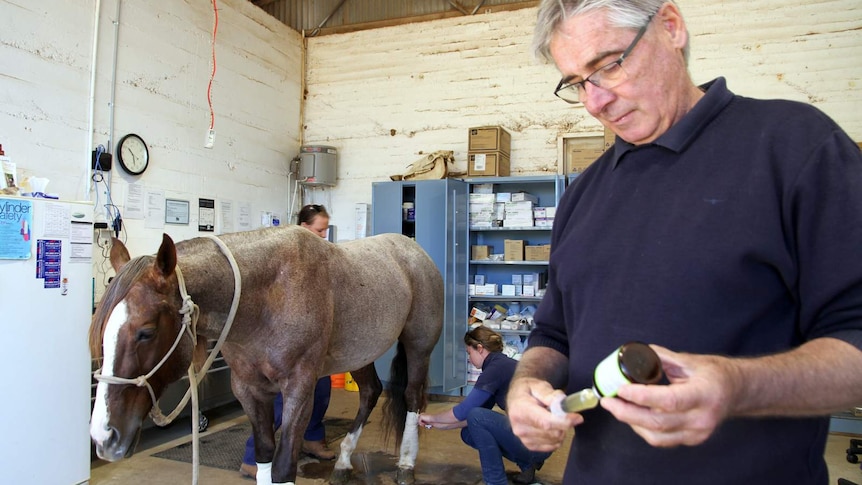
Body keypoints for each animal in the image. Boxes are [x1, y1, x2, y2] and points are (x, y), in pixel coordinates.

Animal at [88, 227, 446, 484]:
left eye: (146, 332)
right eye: (102, 331)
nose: (103, 436)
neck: (267, 295)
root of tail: (414, 250)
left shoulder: (299, 390)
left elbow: (284, 465)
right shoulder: (249, 390)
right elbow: (263, 454)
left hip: (418, 346)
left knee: (413, 397)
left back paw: (405, 464)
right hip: (358, 353)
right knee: (370, 392)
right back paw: (344, 463)